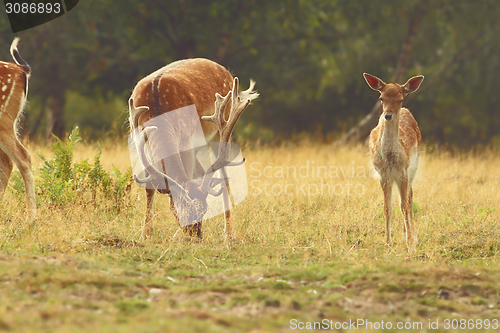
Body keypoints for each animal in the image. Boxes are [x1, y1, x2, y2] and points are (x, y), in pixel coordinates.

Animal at [129, 58, 258, 240]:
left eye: (204, 210)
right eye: (178, 211)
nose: (196, 237)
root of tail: (226, 71)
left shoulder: (186, 139)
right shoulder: (139, 138)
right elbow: (149, 187)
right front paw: (146, 233)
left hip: (220, 132)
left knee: (224, 177)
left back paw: (229, 233)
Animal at [366, 71, 424, 250]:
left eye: (400, 98)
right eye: (381, 98)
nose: (388, 115)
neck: (390, 159)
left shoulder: (403, 171)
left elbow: (404, 205)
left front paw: (410, 245)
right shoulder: (383, 175)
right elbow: (387, 208)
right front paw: (387, 244)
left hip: (413, 168)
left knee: (410, 199)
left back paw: (412, 236)